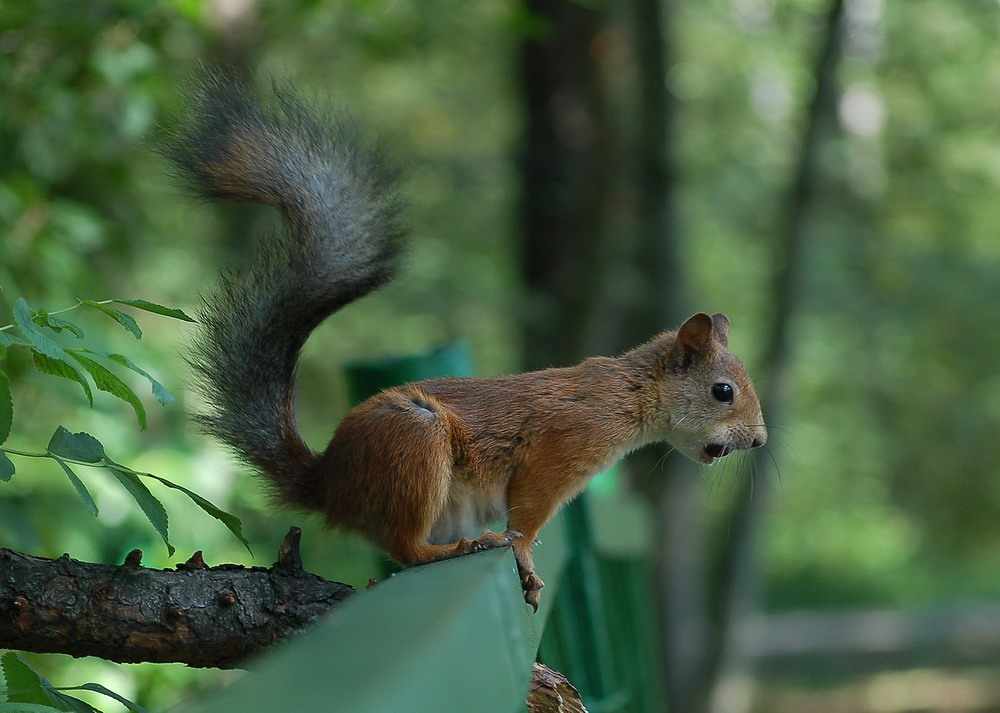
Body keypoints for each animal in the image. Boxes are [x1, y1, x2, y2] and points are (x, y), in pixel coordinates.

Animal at [168, 72, 768, 608]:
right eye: (723, 392)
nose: (760, 440)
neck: (630, 393)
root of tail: (329, 483)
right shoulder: (563, 446)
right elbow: (527, 516)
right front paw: (522, 556)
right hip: (414, 446)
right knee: (406, 550)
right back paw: (459, 548)